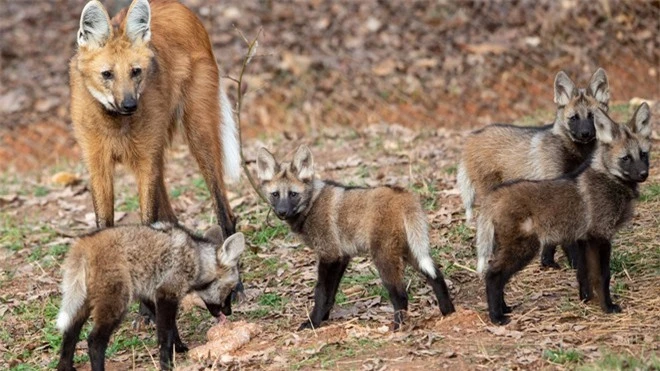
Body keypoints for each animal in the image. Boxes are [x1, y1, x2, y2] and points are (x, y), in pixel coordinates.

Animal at [71, 0, 240, 238]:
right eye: (107, 74)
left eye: (135, 71)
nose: (130, 105)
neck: (116, 123)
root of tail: (179, 7)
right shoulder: (98, 162)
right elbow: (104, 222)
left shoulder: (145, 158)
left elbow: (147, 217)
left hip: (196, 131)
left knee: (221, 202)